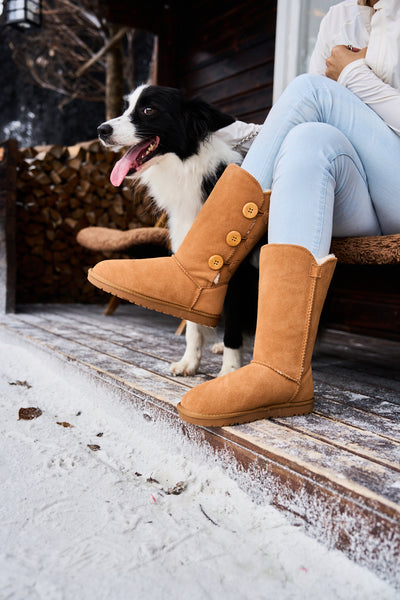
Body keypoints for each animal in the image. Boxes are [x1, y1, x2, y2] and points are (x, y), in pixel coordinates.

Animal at [97, 84, 260, 376]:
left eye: (148, 110)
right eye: (126, 107)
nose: (101, 130)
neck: (188, 168)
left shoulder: (239, 269)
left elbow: (231, 325)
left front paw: (229, 372)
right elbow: (193, 324)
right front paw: (189, 363)